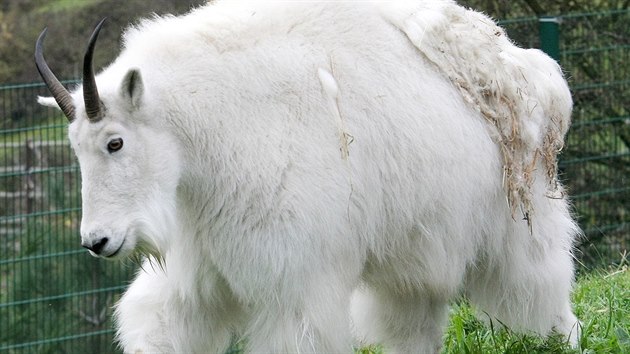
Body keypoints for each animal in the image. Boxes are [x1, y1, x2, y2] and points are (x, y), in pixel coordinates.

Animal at [37, 1, 584, 352]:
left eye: (115, 142)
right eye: (75, 149)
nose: (97, 241)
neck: (215, 130)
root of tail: (538, 71)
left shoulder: (294, 281)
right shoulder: (197, 272)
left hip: (521, 220)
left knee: (539, 286)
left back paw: (562, 336)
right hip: (414, 250)